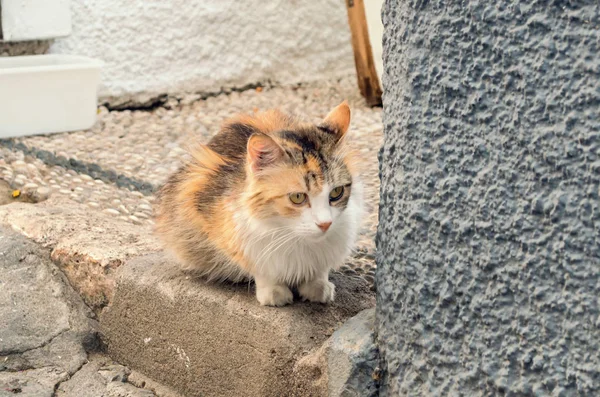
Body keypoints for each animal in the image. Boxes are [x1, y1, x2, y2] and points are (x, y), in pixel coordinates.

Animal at [155, 102, 364, 306]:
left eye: (336, 192)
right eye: (297, 197)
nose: (325, 224)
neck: (294, 236)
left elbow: (321, 266)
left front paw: (318, 286)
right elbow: (261, 266)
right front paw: (274, 292)